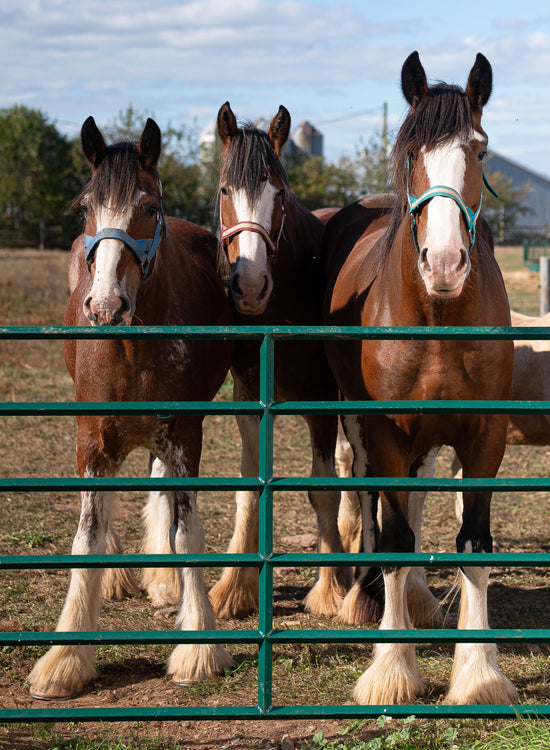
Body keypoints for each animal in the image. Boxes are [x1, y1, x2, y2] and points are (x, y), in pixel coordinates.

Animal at [28, 116, 234, 699]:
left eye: (148, 206)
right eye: (86, 207)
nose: (104, 305)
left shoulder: (185, 433)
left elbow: (188, 529)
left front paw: (198, 646)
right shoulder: (91, 438)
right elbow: (87, 533)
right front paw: (64, 660)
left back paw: (164, 582)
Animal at [207, 102, 350, 620]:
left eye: (280, 192)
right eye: (224, 189)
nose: (249, 286)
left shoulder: (323, 402)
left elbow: (323, 488)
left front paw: (331, 588)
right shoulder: (249, 399)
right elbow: (250, 489)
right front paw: (233, 588)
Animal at [323, 52, 517, 705]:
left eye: (480, 151)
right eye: (412, 152)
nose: (445, 263)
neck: (437, 317)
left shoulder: (484, 436)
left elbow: (473, 544)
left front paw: (478, 673)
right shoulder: (385, 432)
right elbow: (394, 540)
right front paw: (392, 668)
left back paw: (418, 600)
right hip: (359, 426)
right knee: (368, 494)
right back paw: (365, 594)